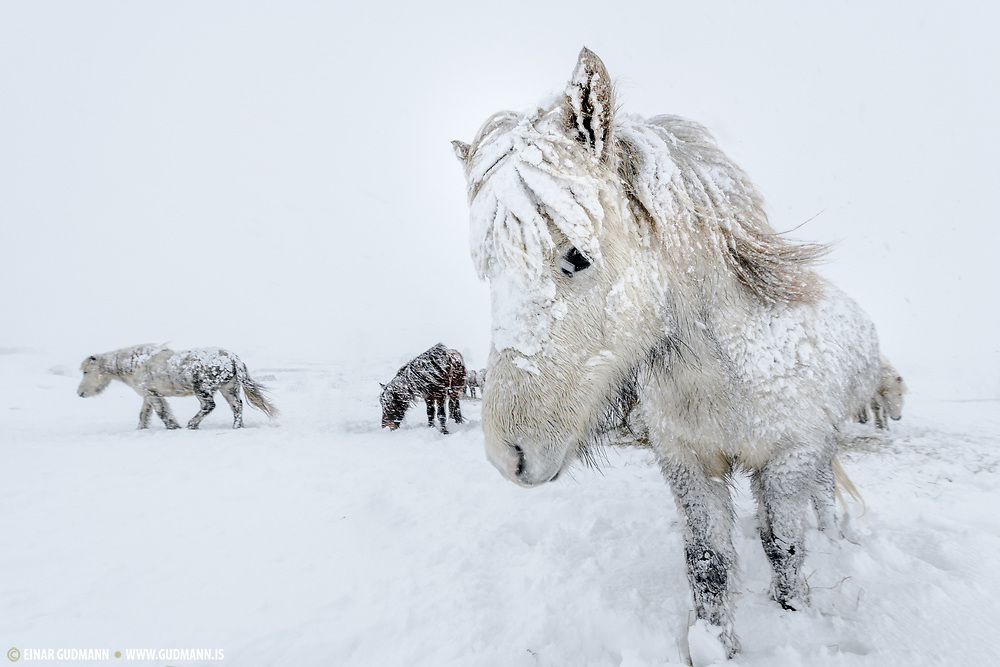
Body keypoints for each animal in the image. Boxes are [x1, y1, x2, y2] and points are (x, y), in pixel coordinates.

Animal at [78, 342, 280, 430]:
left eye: (85, 372)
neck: (136, 365)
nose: (80, 393)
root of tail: (231, 357)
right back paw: (237, 426)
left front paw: (173, 426)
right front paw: (141, 429)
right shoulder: (149, 394)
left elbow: (162, 412)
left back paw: (192, 424)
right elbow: (144, 414)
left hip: (203, 390)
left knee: (209, 406)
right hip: (228, 388)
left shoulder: (152, 395)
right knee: (237, 406)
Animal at [454, 47, 884, 656]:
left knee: (820, 499)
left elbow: (784, 545)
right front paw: (713, 645)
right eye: (490, 272)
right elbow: (707, 561)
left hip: (819, 449)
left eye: (578, 256)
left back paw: (829, 535)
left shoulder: (788, 458)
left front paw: (793, 611)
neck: (728, 371)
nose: (506, 457)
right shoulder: (687, 462)